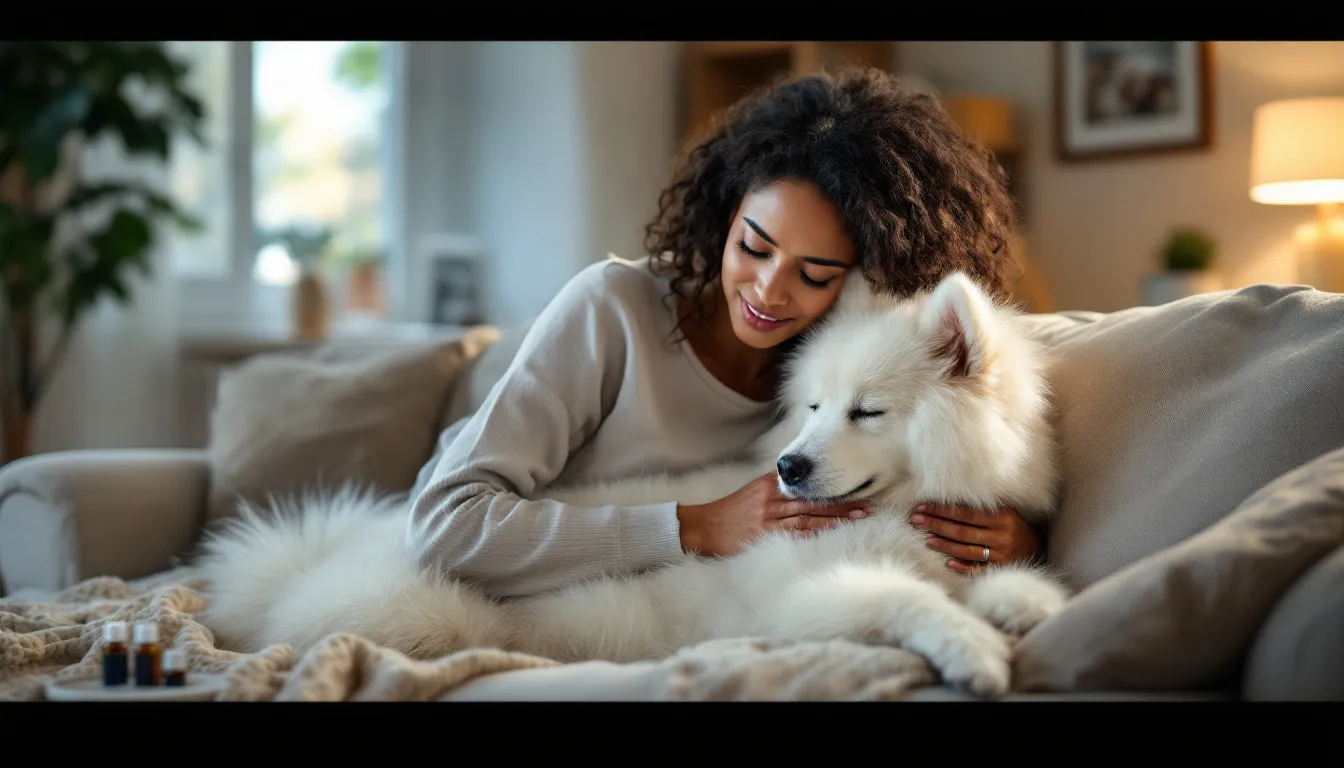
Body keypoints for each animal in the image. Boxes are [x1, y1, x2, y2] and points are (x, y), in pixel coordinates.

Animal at [192, 270, 1069, 699]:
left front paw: (1024, 602)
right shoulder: (800, 601)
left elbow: (993, 585)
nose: (788, 467)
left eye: (868, 411)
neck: (893, 511)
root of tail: (303, 568)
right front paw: (972, 650)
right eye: (815, 406)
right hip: (430, 616)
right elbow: (906, 600)